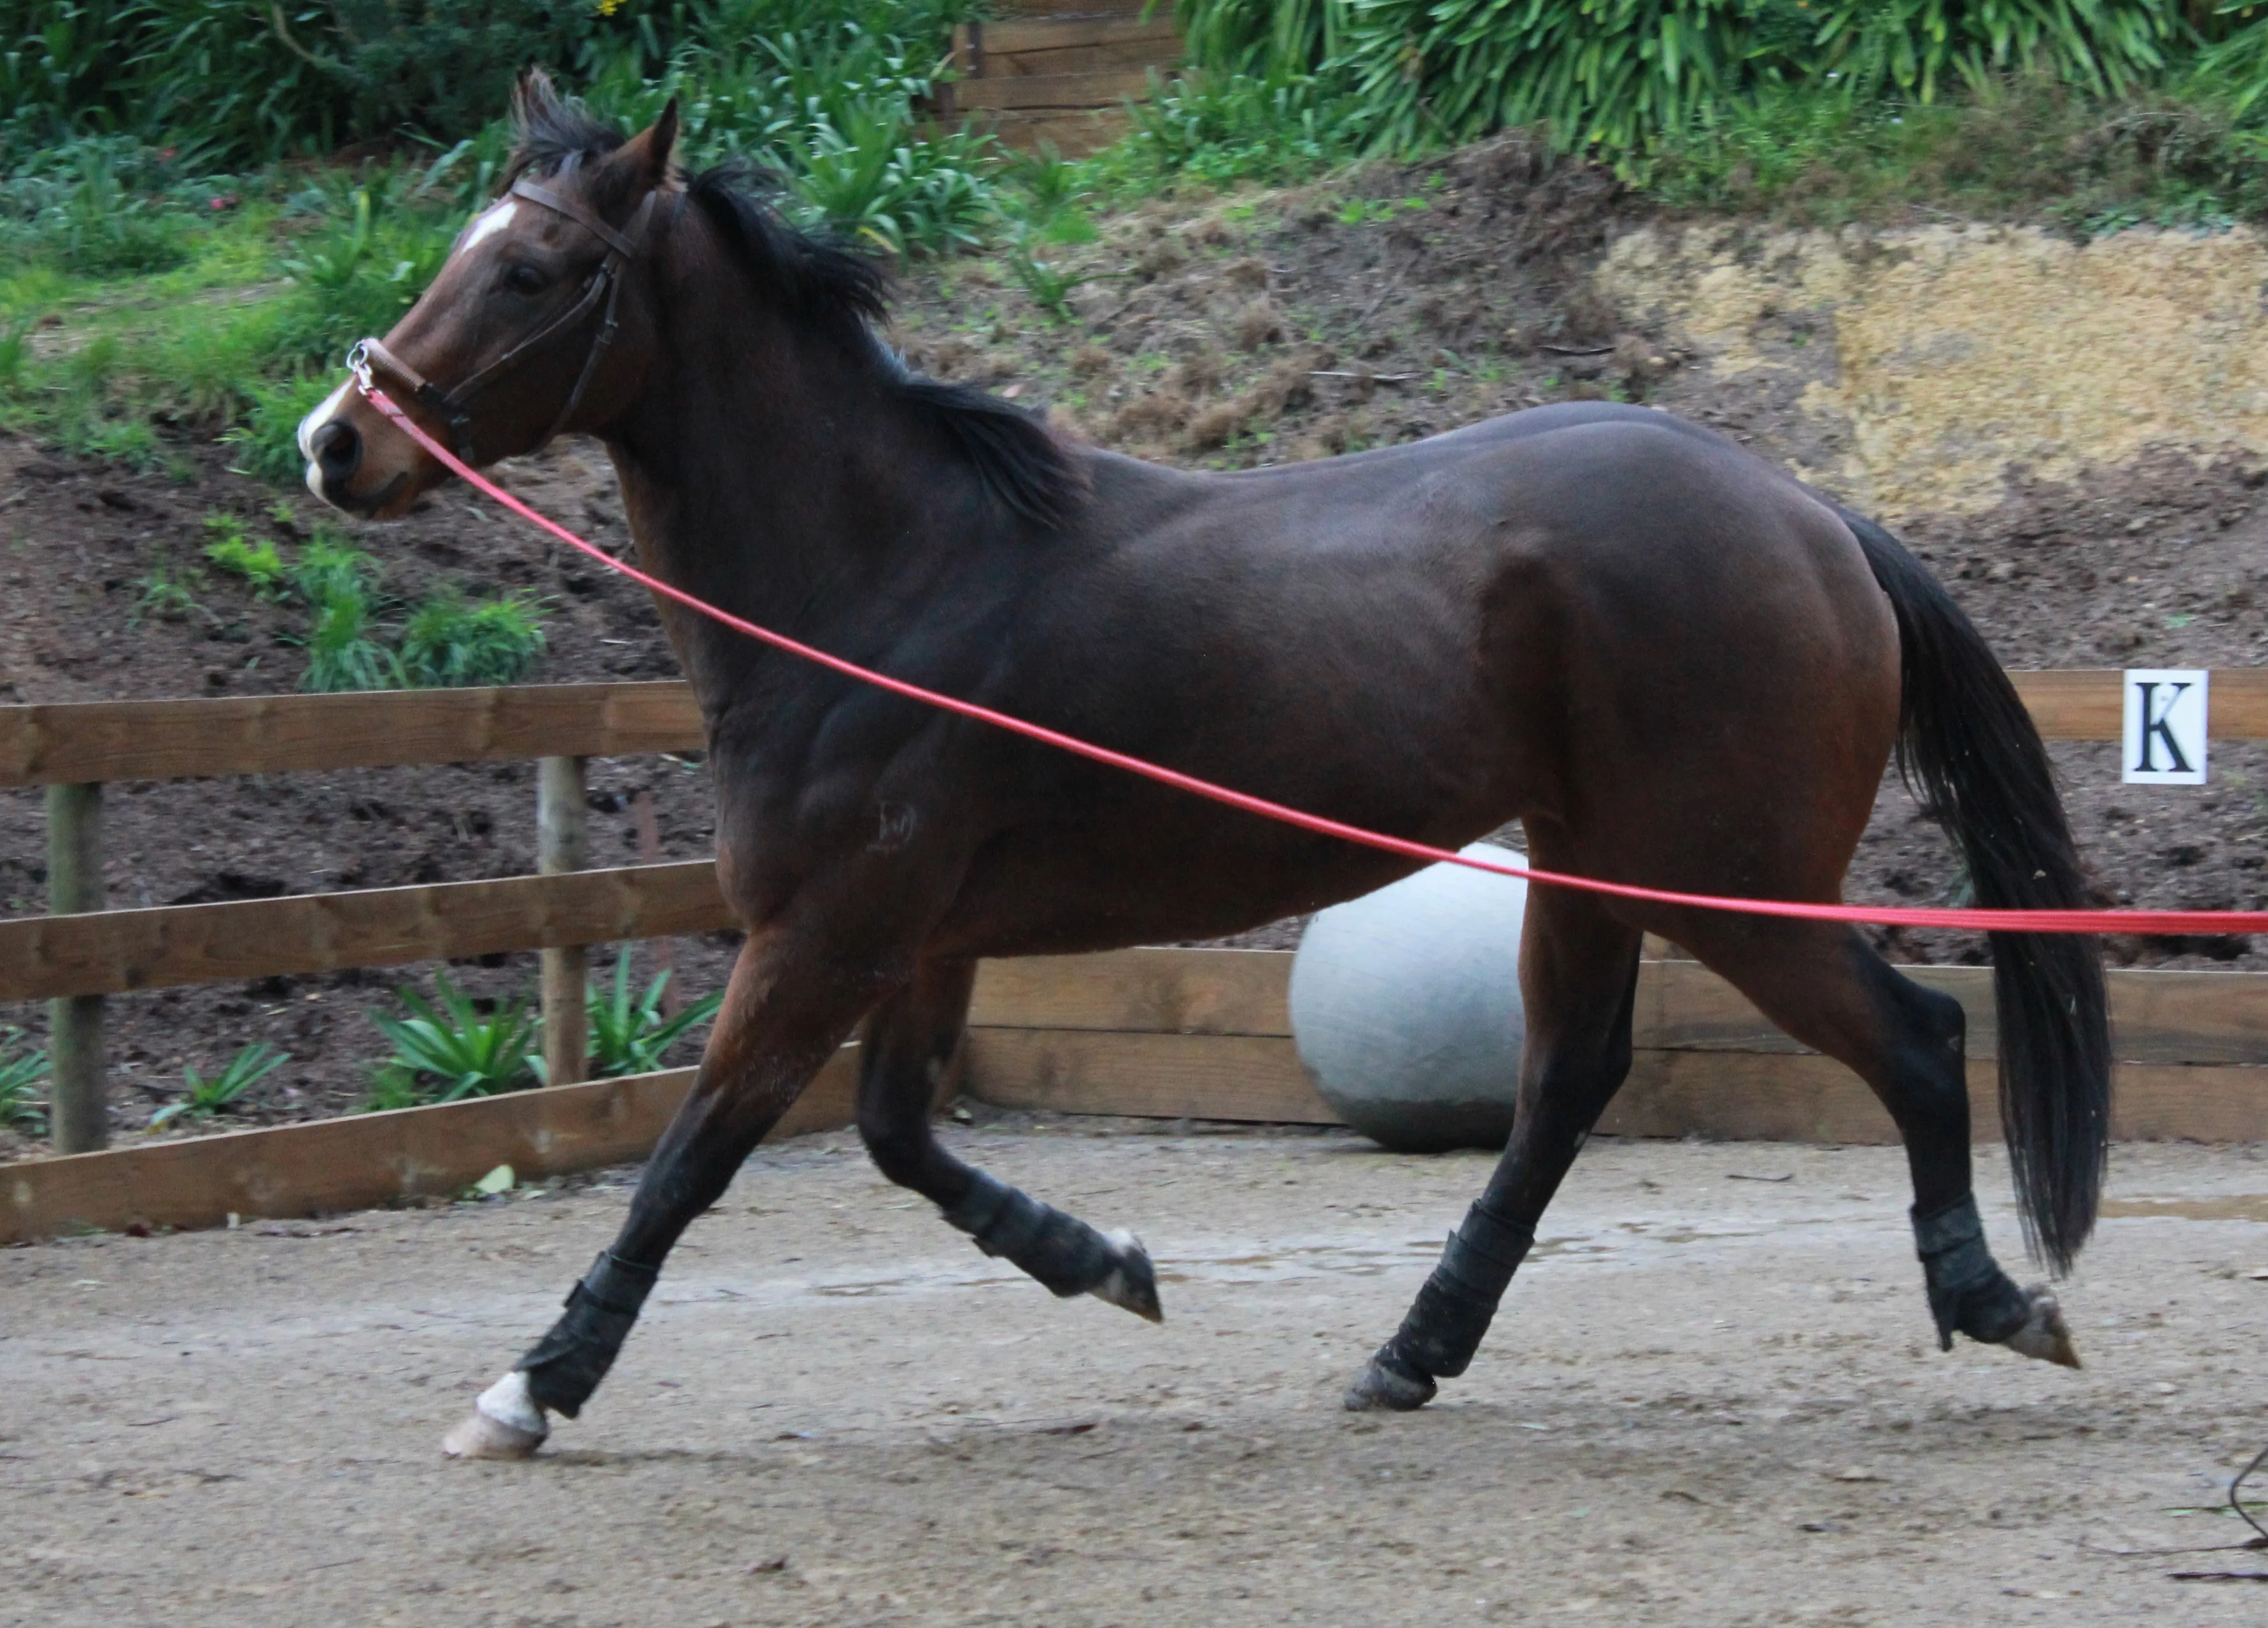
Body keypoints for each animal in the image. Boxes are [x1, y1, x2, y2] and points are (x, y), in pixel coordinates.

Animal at [297, 76, 2104, 1469]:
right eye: (465, 245)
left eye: (536, 268)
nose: (337, 443)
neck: (887, 577)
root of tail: (1810, 515)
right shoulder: (917, 941)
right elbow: (896, 1138)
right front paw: (1099, 1260)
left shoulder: (820, 937)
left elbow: (691, 1160)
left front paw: (530, 1389)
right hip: (1591, 866)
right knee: (1563, 1088)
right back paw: (1407, 1351)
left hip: (1725, 877)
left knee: (1914, 1041)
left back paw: (1995, 1301)